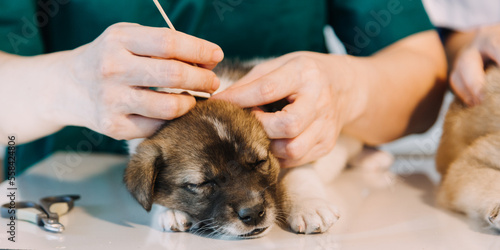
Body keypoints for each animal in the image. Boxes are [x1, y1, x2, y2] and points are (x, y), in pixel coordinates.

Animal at [124, 59, 368, 239]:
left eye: (260, 162)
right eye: (202, 184)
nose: (253, 214)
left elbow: (298, 175)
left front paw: (309, 207)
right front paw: (171, 211)